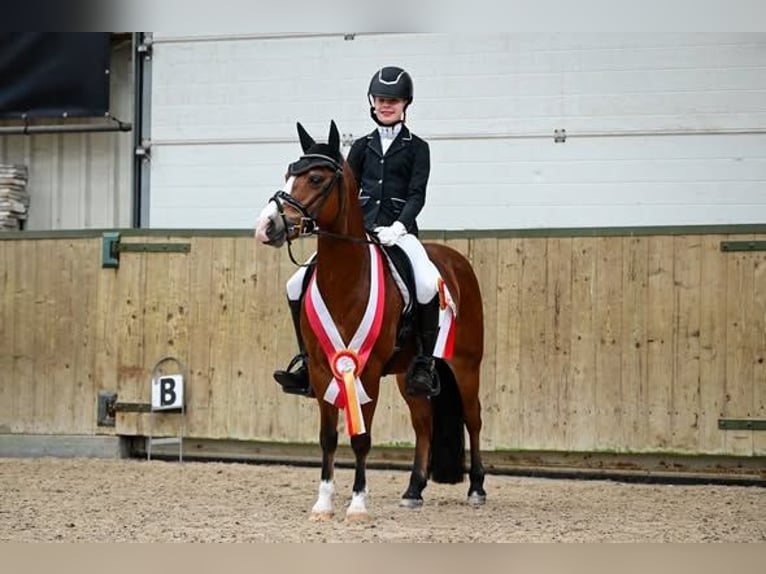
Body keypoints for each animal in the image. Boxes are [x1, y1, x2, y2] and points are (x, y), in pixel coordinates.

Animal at [254, 120, 486, 520]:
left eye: (315, 178)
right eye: (288, 174)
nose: (266, 226)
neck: (345, 278)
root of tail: (457, 262)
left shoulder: (368, 370)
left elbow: (361, 438)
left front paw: (358, 504)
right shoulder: (323, 369)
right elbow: (328, 438)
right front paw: (323, 503)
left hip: (466, 366)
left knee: (473, 419)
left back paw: (476, 489)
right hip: (409, 375)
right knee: (424, 423)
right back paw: (413, 490)